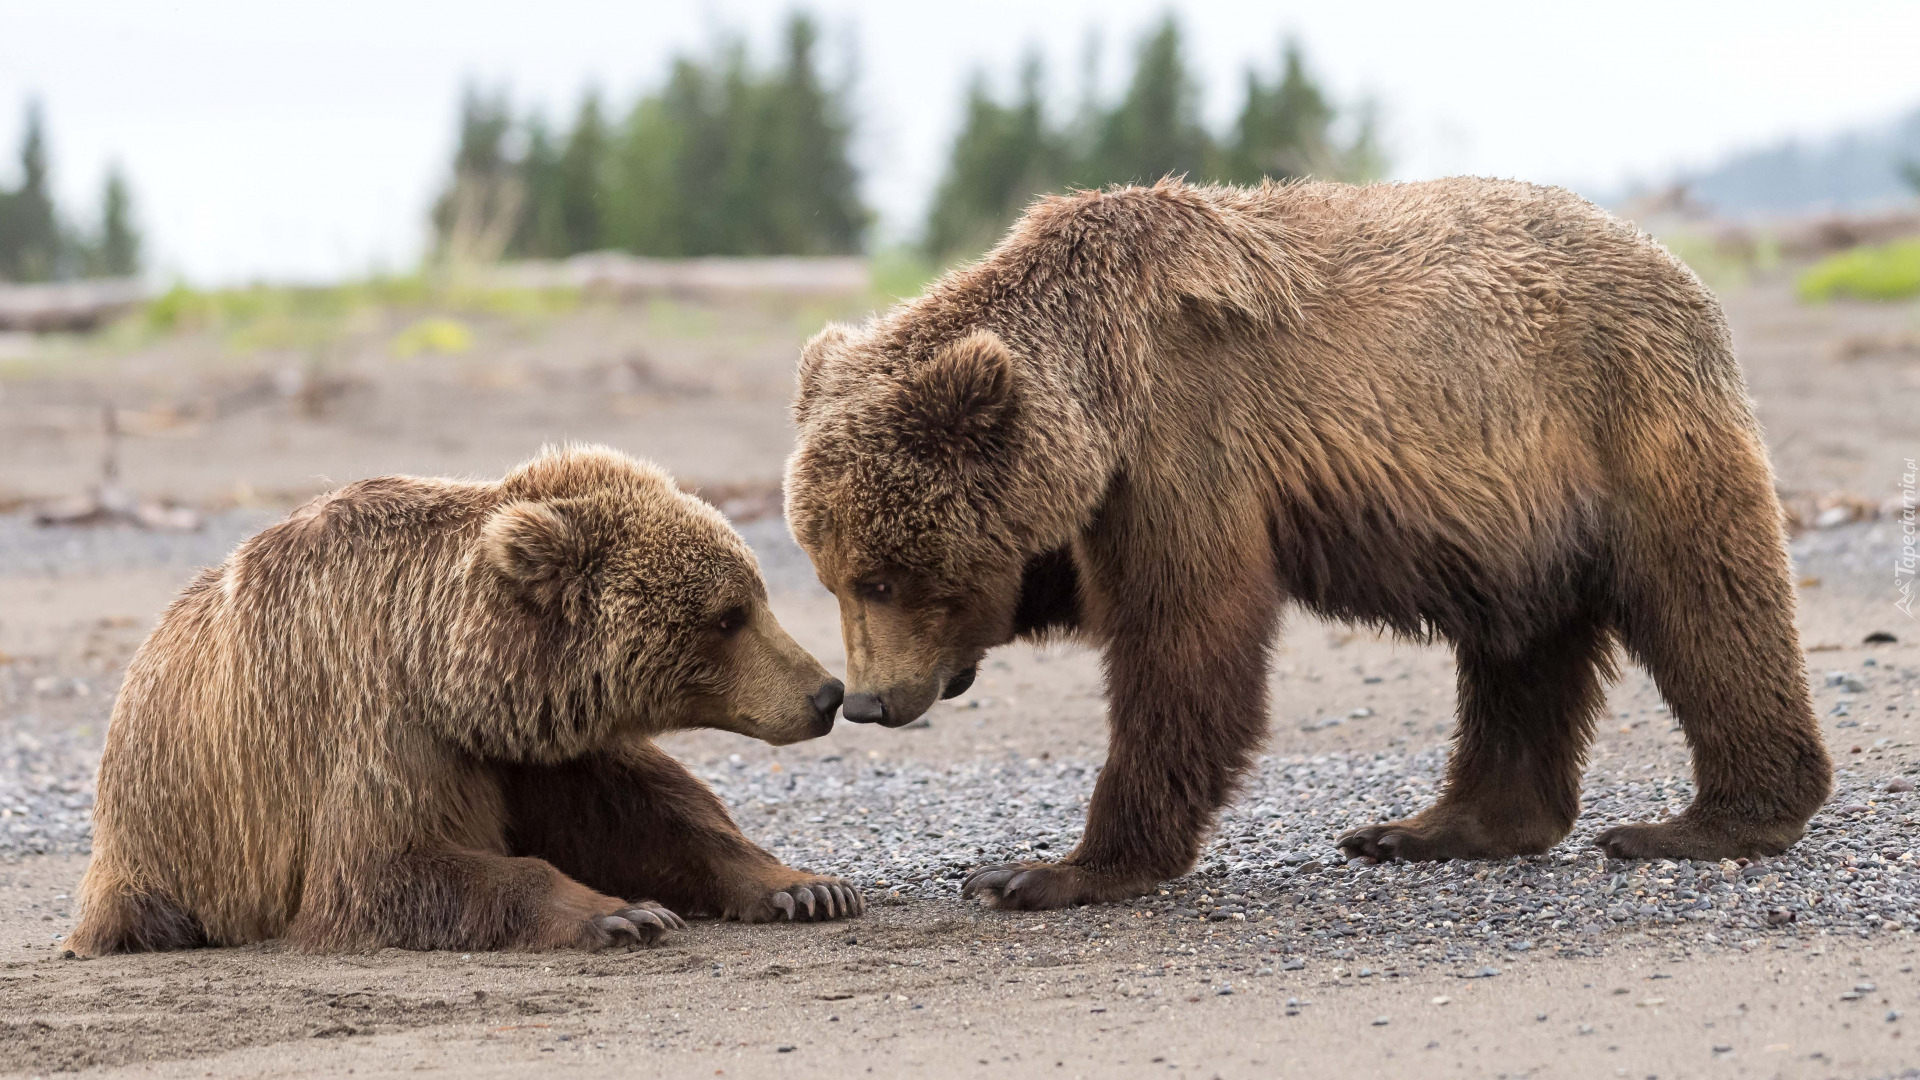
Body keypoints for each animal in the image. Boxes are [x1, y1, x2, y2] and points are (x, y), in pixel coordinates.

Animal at [69, 443, 864, 949]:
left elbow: (652, 816)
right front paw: (621, 914)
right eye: (729, 616)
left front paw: (805, 887)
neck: (445, 670)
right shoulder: (377, 724)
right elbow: (385, 867)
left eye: (756, 596)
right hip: (167, 846)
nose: (825, 692)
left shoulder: (530, 745)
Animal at [787, 176, 1835, 907]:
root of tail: (1675, 265)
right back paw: (1435, 826)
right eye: (832, 574)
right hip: (1519, 519)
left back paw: (1703, 823)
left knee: (1708, 602)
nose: (870, 701)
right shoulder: (1111, 486)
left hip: (1628, 421)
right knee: (1520, 654)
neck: (1101, 381)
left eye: (883, 577)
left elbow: (1184, 642)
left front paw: (1048, 870)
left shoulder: (1188, 443)